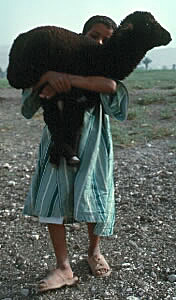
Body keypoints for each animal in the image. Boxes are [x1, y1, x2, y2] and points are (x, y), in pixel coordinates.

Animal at [7, 11, 172, 166]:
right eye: (148, 24)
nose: (169, 36)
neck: (102, 57)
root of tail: (19, 38)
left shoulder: (82, 99)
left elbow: (74, 126)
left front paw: (65, 154)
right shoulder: (72, 97)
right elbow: (66, 125)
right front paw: (68, 154)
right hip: (31, 79)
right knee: (52, 118)